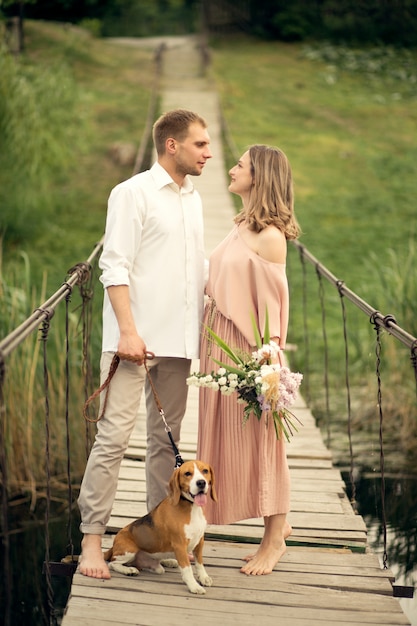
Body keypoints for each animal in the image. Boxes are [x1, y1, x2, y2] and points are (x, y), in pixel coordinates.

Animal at [102, 460, 216, 592]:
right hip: (128, 551)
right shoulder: (180, 545)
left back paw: (168, 560)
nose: (201, 482)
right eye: (187, 473)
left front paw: (203, 578)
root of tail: (113, 546)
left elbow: (199, 563)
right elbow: (187, 569)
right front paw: (194, 586)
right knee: (112, 563)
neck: (192, 507)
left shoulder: (199, 541)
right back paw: (128, 570)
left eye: (205, 471)